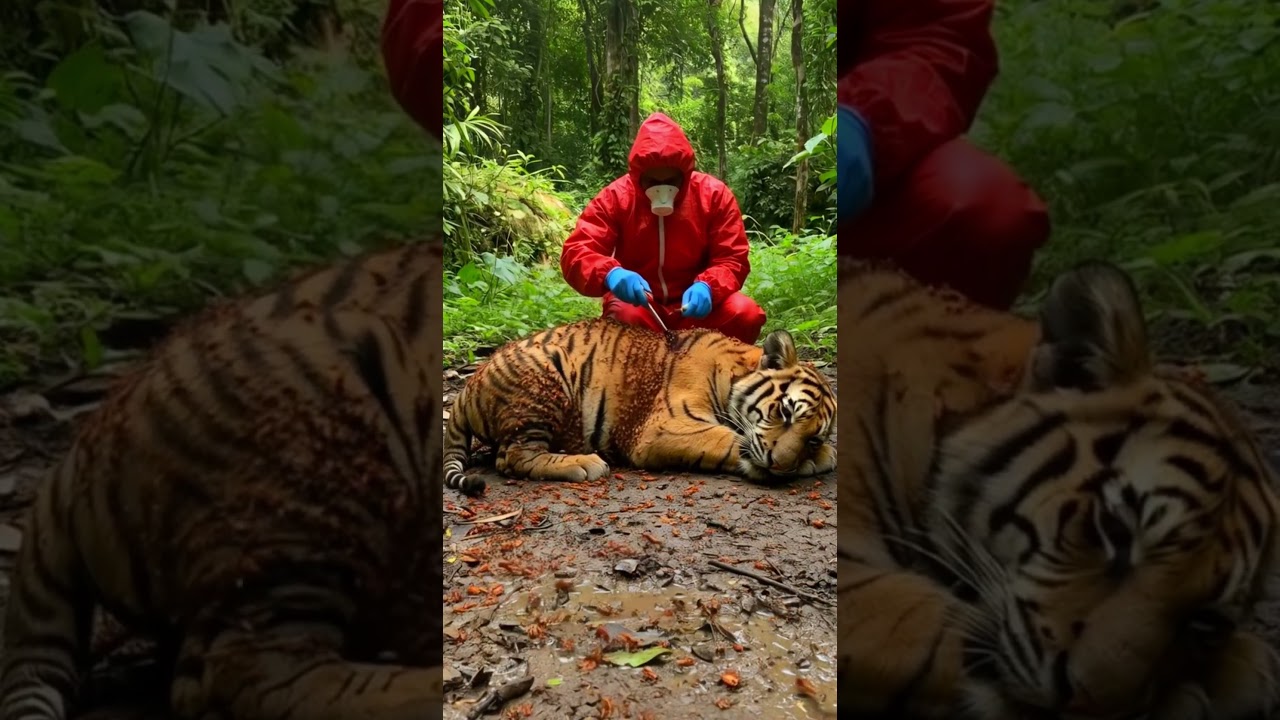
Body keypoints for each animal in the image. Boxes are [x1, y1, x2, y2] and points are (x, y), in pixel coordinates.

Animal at [442, 318, 836, 497]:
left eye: (813, 437)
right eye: (785, 412)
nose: (780, 466)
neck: (734, 370)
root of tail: (467, 387)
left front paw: (818, 457)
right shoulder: (662, 428)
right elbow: (729, 440)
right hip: (544, 379)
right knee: (512, 458)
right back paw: (583, 463)